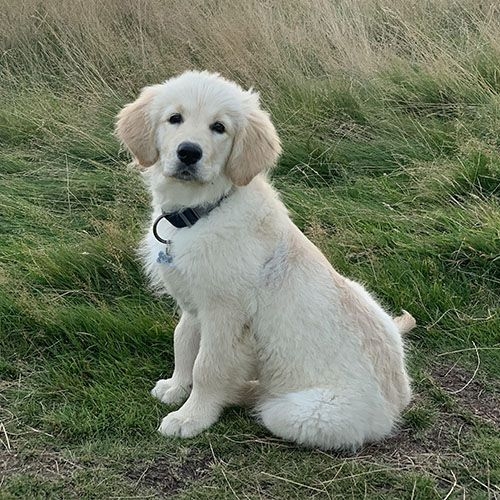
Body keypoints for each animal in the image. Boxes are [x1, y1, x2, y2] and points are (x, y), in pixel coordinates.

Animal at [116, 71, 414, 454]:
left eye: (219, 127)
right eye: (174, 119)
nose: (189, 152)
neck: (204, 211)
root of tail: (397, 404)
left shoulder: (225, 312)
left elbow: (207, 366)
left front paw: (191, 417)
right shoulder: (193, 304)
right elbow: (183, 343)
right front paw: (176, 387)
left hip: (295, 412)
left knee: (266, 403)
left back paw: (243, 391)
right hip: (363, 293)